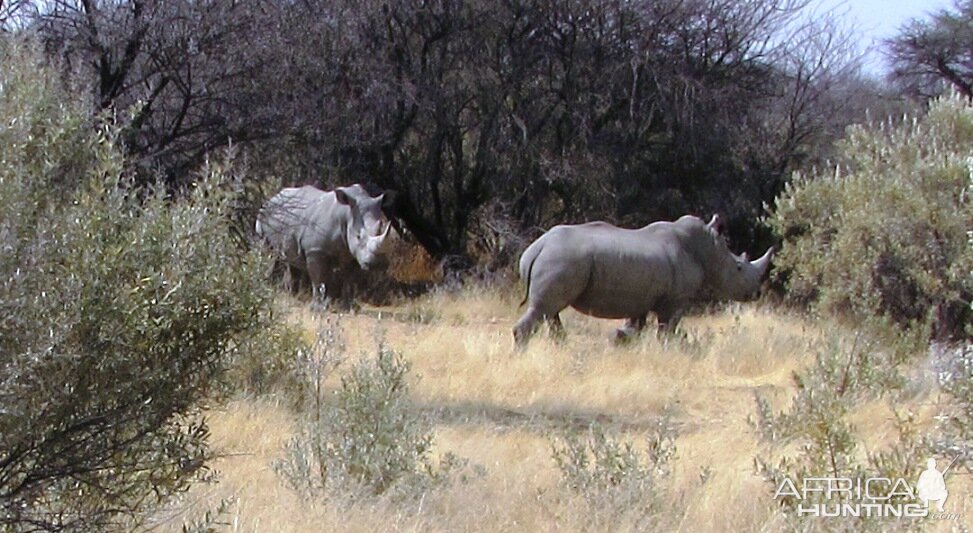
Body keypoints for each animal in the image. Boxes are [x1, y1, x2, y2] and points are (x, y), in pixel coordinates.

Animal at [258, 184, 398, 306]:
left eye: (381, 227)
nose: (378, 264)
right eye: (358, 236)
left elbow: (349, 279)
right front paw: (318, 307)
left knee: (291, 260)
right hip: (263, 218)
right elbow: (318, 278)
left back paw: (293, 297)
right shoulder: (315, 250)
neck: (346, 214)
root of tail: (271, 198)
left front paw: (347, 306)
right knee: (269, 255)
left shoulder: (352, 253)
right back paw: (265, 289)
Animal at [512, 213, 772, 344]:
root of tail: (536, 248)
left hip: (559, 260)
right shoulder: (676, 299)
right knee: (545, 308)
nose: (757, 293)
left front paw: (621, 341)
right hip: (561, 259)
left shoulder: (641, 297)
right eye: (739, 267)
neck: (708, 249)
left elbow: (633, 327)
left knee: (549, 311)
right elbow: (668, 329)